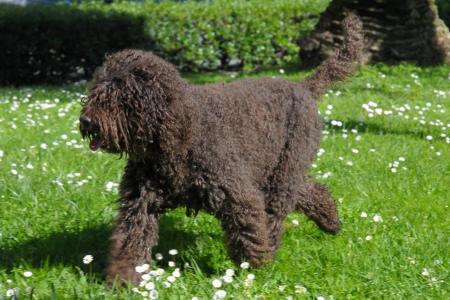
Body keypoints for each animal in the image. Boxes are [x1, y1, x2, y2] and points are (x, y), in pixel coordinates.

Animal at [79, 14, 364, 286]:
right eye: (95, 92)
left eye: (120, 98)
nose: (85, 121)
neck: (176, 138)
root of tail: (302, 87)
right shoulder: (139, 202)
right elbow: (131, 239)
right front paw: (124, 278)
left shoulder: (236, 193)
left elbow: (249, 232)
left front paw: (254, 266)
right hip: (277, 173)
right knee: (309, 191)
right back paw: (331, 221)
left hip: (284, 173)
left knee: (277, 213)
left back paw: (277, 250)